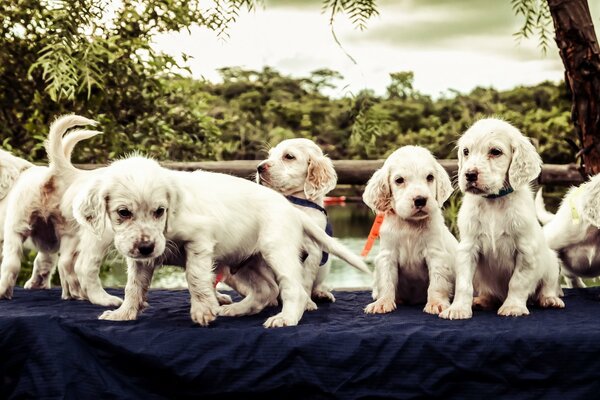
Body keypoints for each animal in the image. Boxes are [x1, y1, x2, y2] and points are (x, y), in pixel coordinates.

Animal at [0, 114, 99, 298]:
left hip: (15, 228)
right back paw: (74, 293)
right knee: (65, 263)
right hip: (68, 232)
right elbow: (46, 261)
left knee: (11, 263)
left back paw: (3, 291)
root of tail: (51, 174)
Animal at [254, 139, 338, 302]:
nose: (259, 167)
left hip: (325, 266)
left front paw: (308, 303)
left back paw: (321, 292)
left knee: (317, 284)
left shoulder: (313, 252)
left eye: (289, 156)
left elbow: (306, 281)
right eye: (270, 155)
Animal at [358, 147, 458, 316]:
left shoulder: (436, 254)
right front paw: (383, 303)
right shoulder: (388, 255)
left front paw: (436, 303)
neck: (410, 224)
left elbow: (437, 282)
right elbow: (386, 281)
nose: (420, 200)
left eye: (430, 177)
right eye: (399, 180)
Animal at [438, 117, 564, 320]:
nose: (469, 174)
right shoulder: (467, 249)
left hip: (551, 262)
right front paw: (458, 309)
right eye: (466, 151)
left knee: (548, 286)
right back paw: (482, 300)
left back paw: (550, 299)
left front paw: (513, 307)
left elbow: (518, 281)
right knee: (487, 293)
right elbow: (464, 284)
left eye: (495, 152)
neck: (494, 202)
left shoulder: (526, 251)